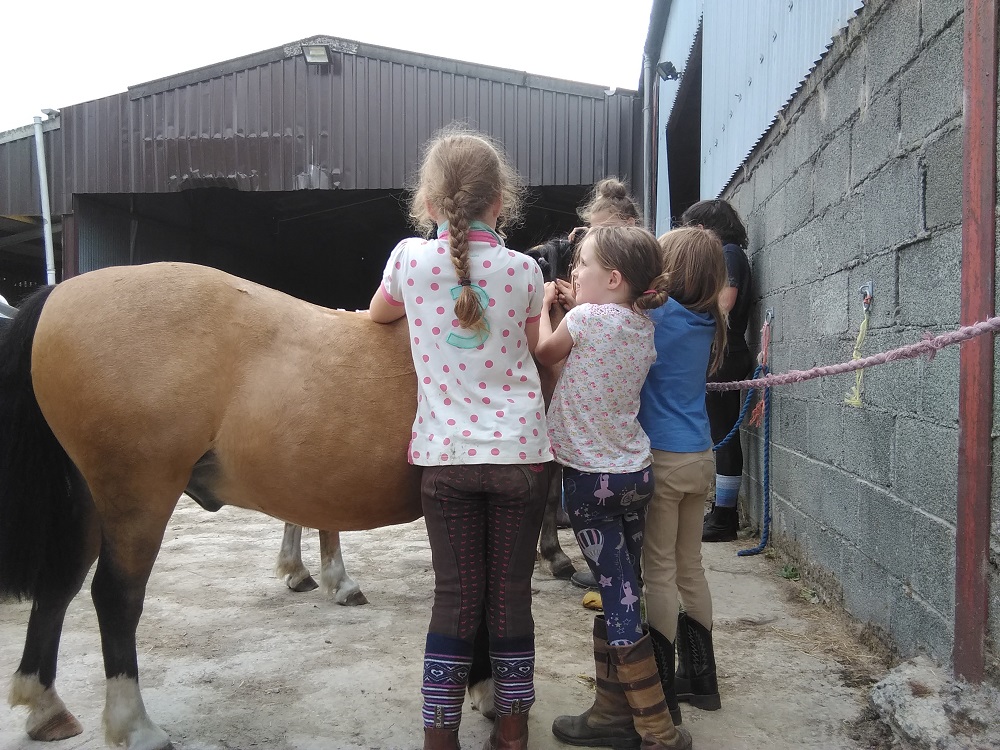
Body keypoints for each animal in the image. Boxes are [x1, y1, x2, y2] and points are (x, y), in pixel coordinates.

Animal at [0, 262, 512, 748]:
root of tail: (59, 293)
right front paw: (487, 692)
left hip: (90, 501)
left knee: (59, 585)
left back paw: (47, 710)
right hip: (137, 497)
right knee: (114, 597)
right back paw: (136, 727)